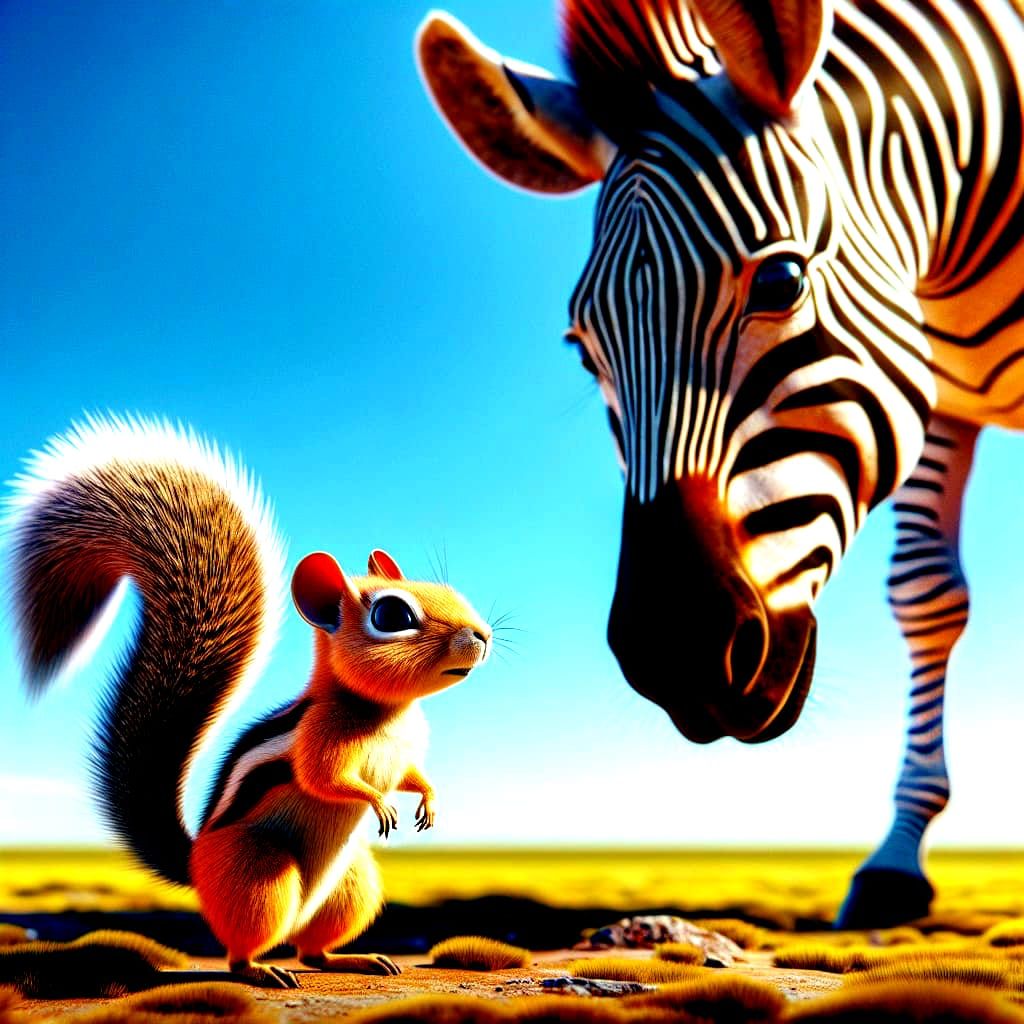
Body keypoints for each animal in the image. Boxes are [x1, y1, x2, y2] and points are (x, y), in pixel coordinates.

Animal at [416, 0, 1023, 927]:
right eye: (583, 347)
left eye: (781, 282)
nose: (673, 655)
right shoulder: (937, 395)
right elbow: (926, 594)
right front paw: (896, 861)